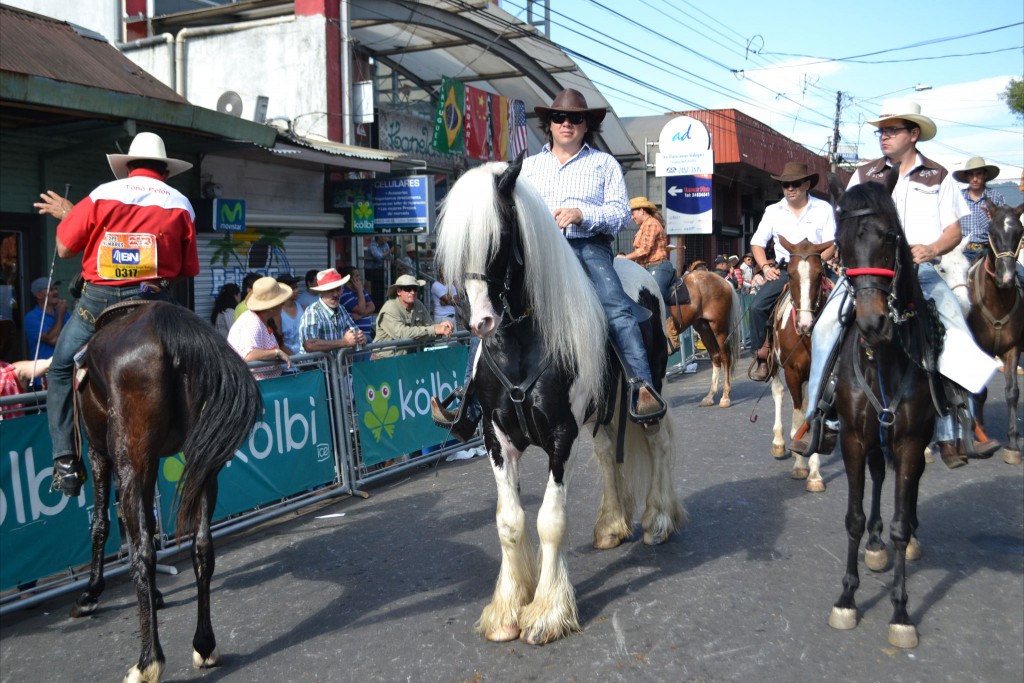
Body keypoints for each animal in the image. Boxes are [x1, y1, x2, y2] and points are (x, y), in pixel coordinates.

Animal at [69, 305, 260, 683]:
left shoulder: (101, 454)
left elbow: (104, 525)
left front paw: (91, 592)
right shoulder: (154, 462)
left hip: (130, 459)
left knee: (143, 552)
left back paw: (147, 662)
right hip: (202, 462)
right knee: (202, 546)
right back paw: (204, 644)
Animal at [667, 268, 741, 405]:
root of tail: (724, 281)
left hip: (718, 328)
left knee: (725, 357)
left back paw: (725, 396)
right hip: (704, 329)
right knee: (715, 357)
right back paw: (710, 396)